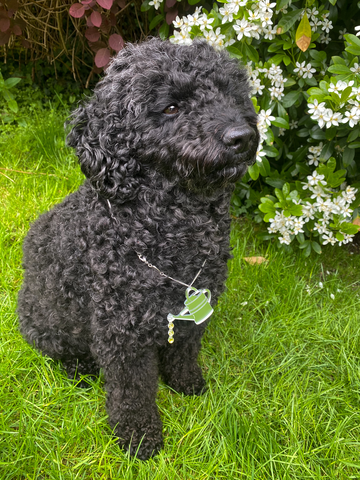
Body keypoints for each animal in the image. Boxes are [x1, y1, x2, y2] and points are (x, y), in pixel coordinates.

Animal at [17, 38, 258, 462]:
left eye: (231, 93)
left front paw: (186, 384)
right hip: (50, 325)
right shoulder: (121, 333)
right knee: (59, 351)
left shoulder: (195, 306)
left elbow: (184, 352)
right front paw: (138, 436)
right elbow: (132, 392)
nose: (241, 136)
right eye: (172, 107)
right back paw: (80, 370)